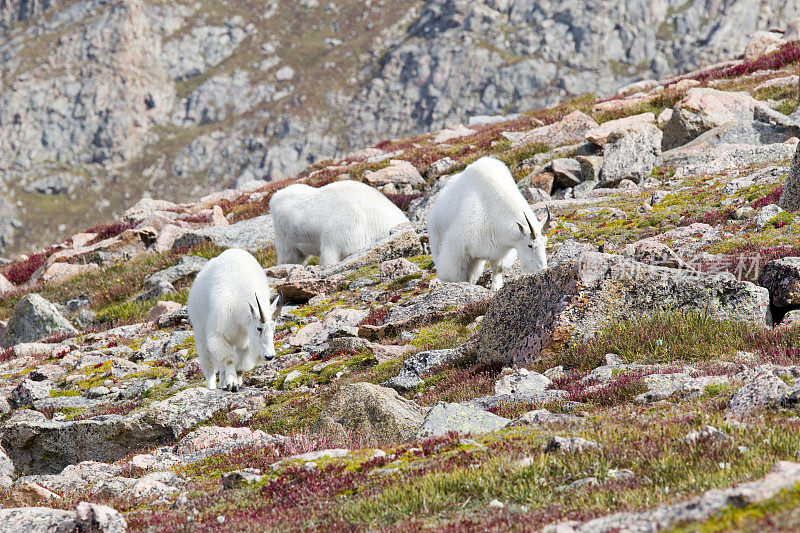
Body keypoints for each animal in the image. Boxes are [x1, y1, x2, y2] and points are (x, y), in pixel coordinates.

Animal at [186, 248, 282, 390]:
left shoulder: (247, 342)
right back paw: (212, 386)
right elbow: (229, 359)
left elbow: (241, 367)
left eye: (274, 328)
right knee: (209, 366)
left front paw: (236, 381)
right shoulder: (219, 335)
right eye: (259, 328)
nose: (269, 356)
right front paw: (232, 383)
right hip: (201, 333)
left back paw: (222, 384)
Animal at [424, 157, 552, 290]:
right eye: (530, 245)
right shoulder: (457, 246)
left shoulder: (500, 249)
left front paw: (496, 287)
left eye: (545, 243)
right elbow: (455, 274)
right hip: (437, 240)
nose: (540, 270)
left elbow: (498, 269)